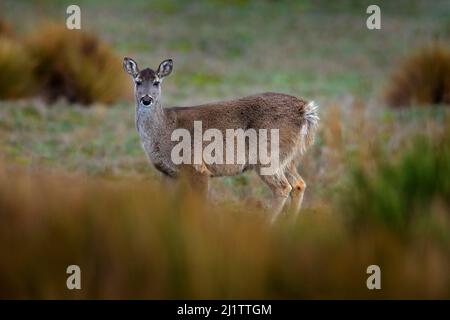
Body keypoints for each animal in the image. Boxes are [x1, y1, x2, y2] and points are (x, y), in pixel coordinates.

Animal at [123, 57, 320, 221]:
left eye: (156, 82)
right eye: (137, 81)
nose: (146, 99)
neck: (164, 130)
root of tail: (306, 111)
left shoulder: (198, 168)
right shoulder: (168, 173)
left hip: (267, 155)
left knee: (283, 187)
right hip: (288, 158)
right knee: (299, 184)